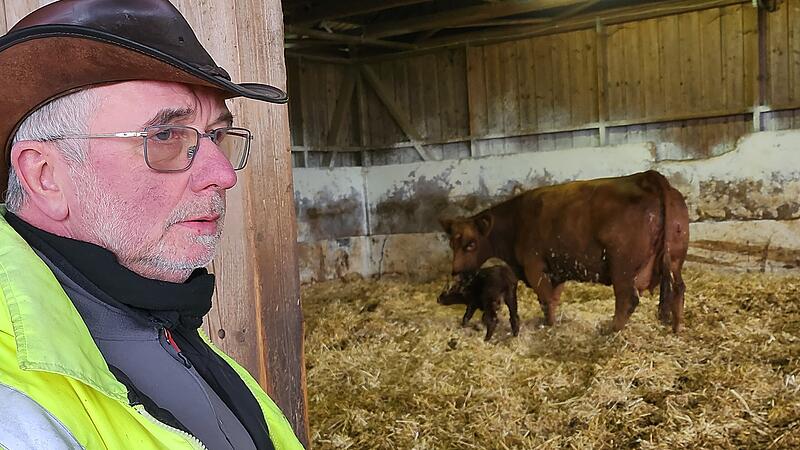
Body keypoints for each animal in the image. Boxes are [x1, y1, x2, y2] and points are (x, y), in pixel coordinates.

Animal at [439, 170, 689, 333]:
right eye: (452, 243)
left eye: (471, 244)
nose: (456, 271)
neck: (516, 222)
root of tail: (647, 177)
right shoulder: (556, 270)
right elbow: (553, 298)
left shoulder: (535, 267)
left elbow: (545, 299)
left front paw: (549, 327)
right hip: (675, 261)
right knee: (678, 289)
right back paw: (676, 328)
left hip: (622, 267)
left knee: (627, 300)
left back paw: (610, 331)